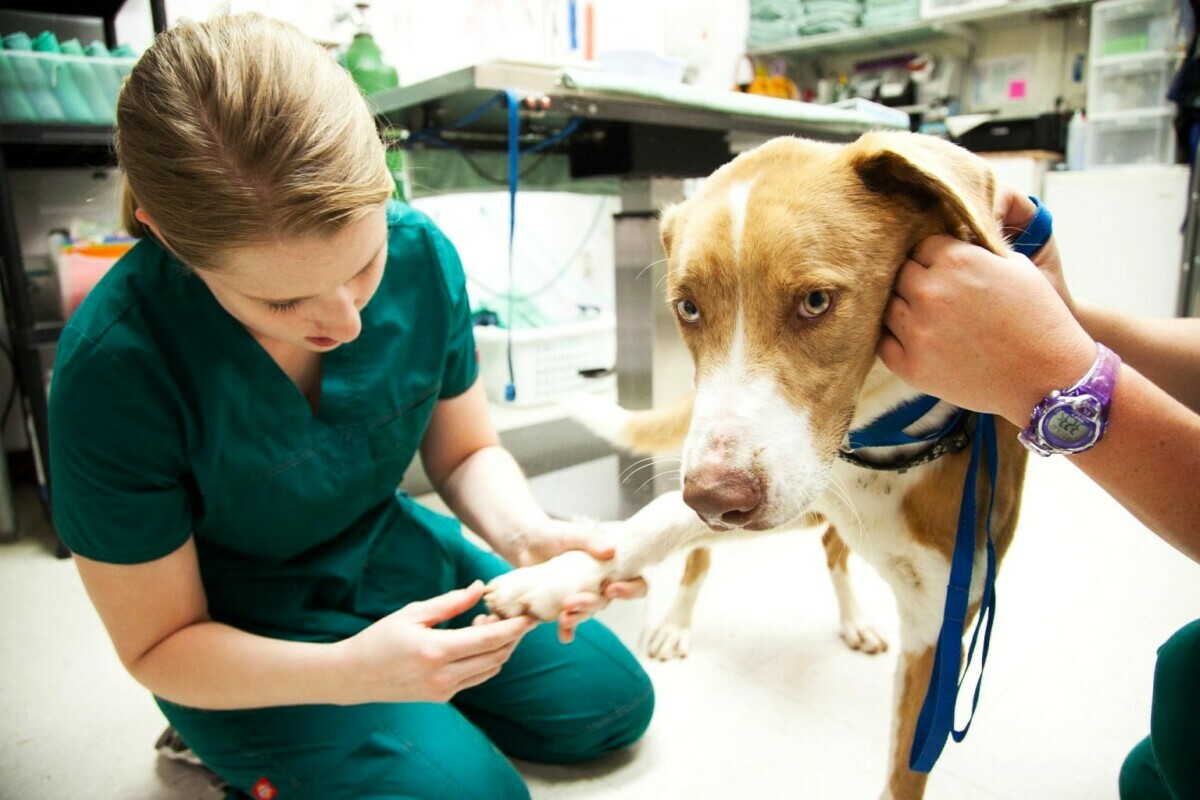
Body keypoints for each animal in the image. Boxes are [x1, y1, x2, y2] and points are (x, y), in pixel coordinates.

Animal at [482, 128, 1027, 796]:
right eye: (687, 308)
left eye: (816, 301)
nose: (716, 500)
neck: (880, 446)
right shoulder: (784, 491)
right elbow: (651, 522)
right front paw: (556, 577)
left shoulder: (939, 625)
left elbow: (903, 774)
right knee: (709, 551)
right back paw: (676, 621)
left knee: (830, 550)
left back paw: (853, 618)